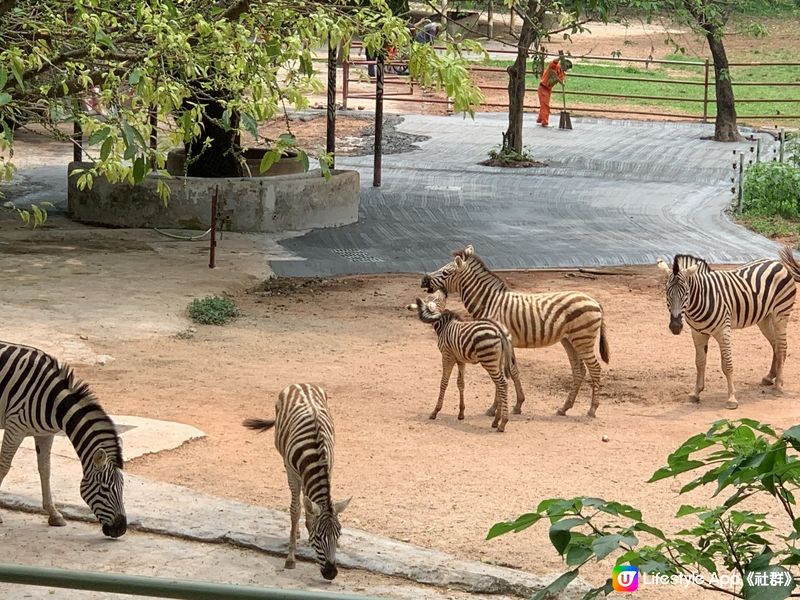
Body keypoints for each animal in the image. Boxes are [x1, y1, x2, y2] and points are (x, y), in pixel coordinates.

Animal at [0, 342, 126, 540]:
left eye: (122, 487)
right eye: (104, 489)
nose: (121, 529)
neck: (55, 404)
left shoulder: (45, 434)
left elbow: (45, 470)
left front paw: (54, 514)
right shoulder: (15, 428)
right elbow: (3, 467)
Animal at [244, 384, 350, 580]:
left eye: (338, 534)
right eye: (318, 537)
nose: (331, 573)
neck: (315, 450)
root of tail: (301, 384)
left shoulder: (327, 469)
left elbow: (311, 506)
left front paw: (309, 527)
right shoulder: (292, 473)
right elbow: (295, 510)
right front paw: (291, 557)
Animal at [416, 296, 520, 432]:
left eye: (427, 303)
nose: (417, 302)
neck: (444, 325)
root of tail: (499, 330)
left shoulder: (447, 356)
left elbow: (444, 382)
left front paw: (435, 411)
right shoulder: (460, 360)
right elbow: (461, 384)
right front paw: (461, 413)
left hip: (489, 360)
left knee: (502, 384)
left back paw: (503, 423)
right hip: (498, 360)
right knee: (500, 385)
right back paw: (496, 421)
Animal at [422, 244, 608, 418]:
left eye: (445, 272)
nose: (423, 280)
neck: (489, 302)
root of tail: (595, 301)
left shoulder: (497, 343)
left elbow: (504, 374)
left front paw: (495, 409)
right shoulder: (502, 344)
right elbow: (512, 371)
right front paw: (516, 405)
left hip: (583, 339)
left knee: (595, 368)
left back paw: (592, 409)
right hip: (569, 340)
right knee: (579, 370)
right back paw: (564, 408)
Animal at [656, 246, 800, 410]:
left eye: (686, 293)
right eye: (666, 293)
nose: (675, 326)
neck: (702, 298)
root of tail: (777, 263)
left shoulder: (723, 331)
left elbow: (727, 365)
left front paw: (731, 398)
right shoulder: (698, 333)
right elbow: (699, 363)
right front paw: (696, 393)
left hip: (780, 315)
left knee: (782, 347)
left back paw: (778, 386)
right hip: (764, 318)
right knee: (775, 345)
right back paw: (770, 377)